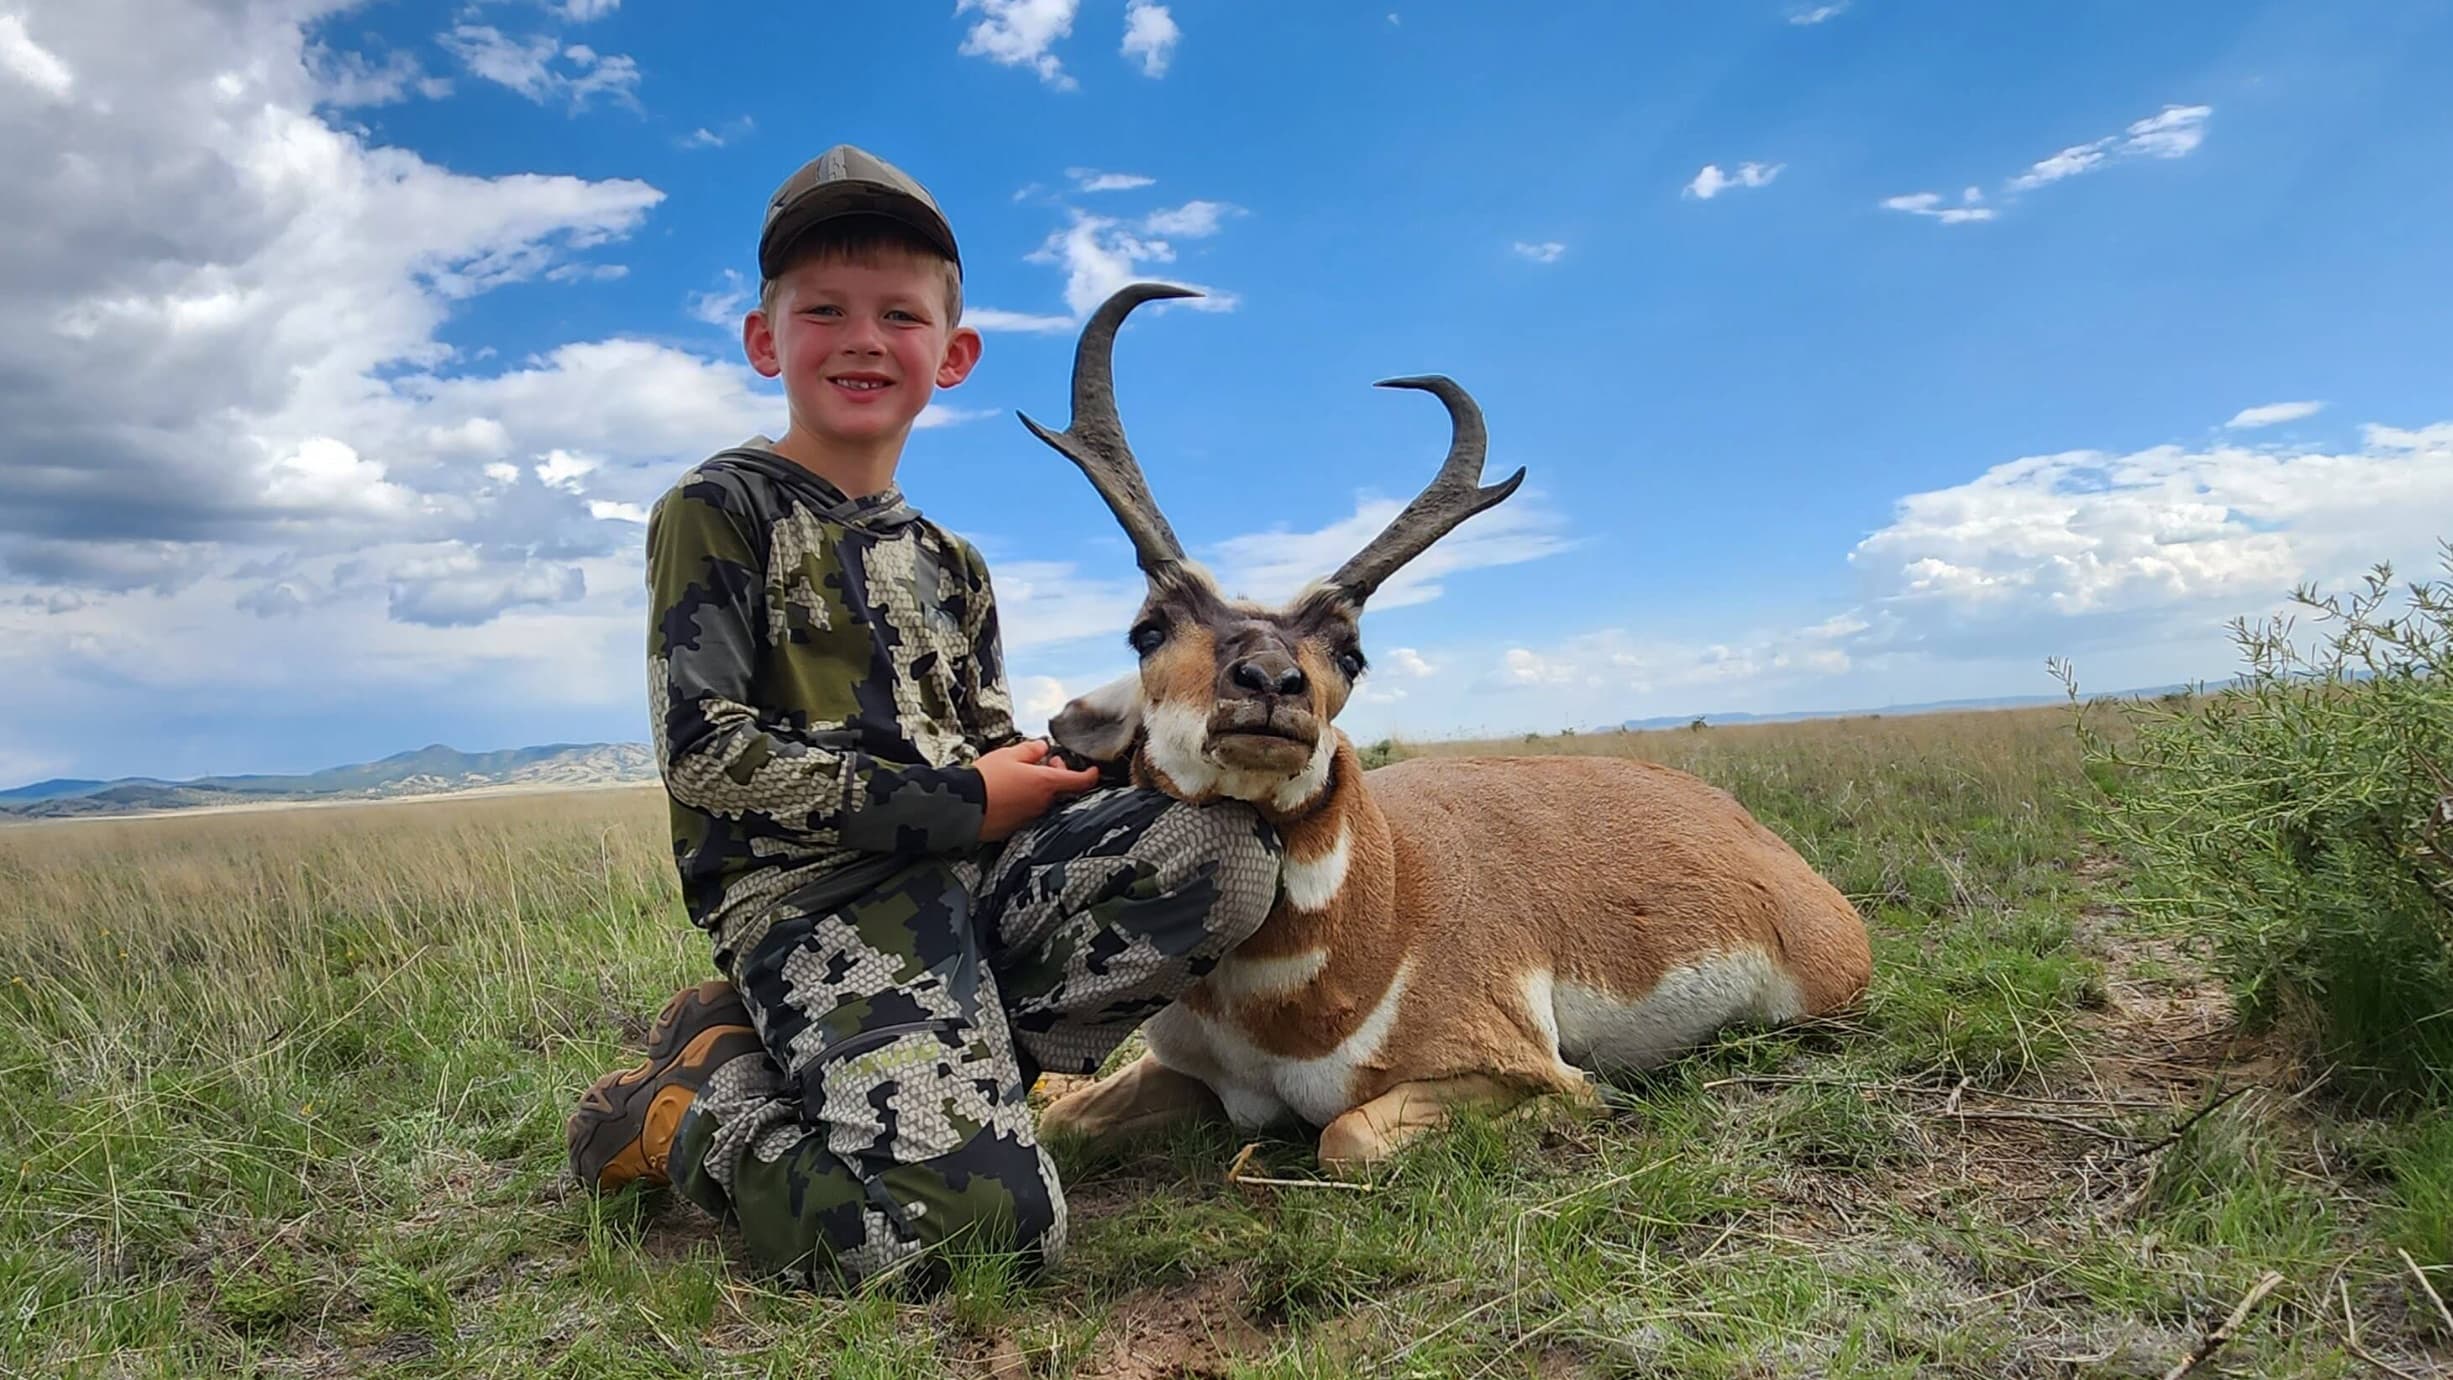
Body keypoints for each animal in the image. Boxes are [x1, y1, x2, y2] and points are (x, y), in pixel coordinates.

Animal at [1023, 282, 1873, 1171]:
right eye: (1147, 630)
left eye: (1351, 652)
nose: (1272, 684)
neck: (1391, 902)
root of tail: (1757, 839)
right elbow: (1061, 1119)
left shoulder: (1517, 1068)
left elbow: (1348, 1136)